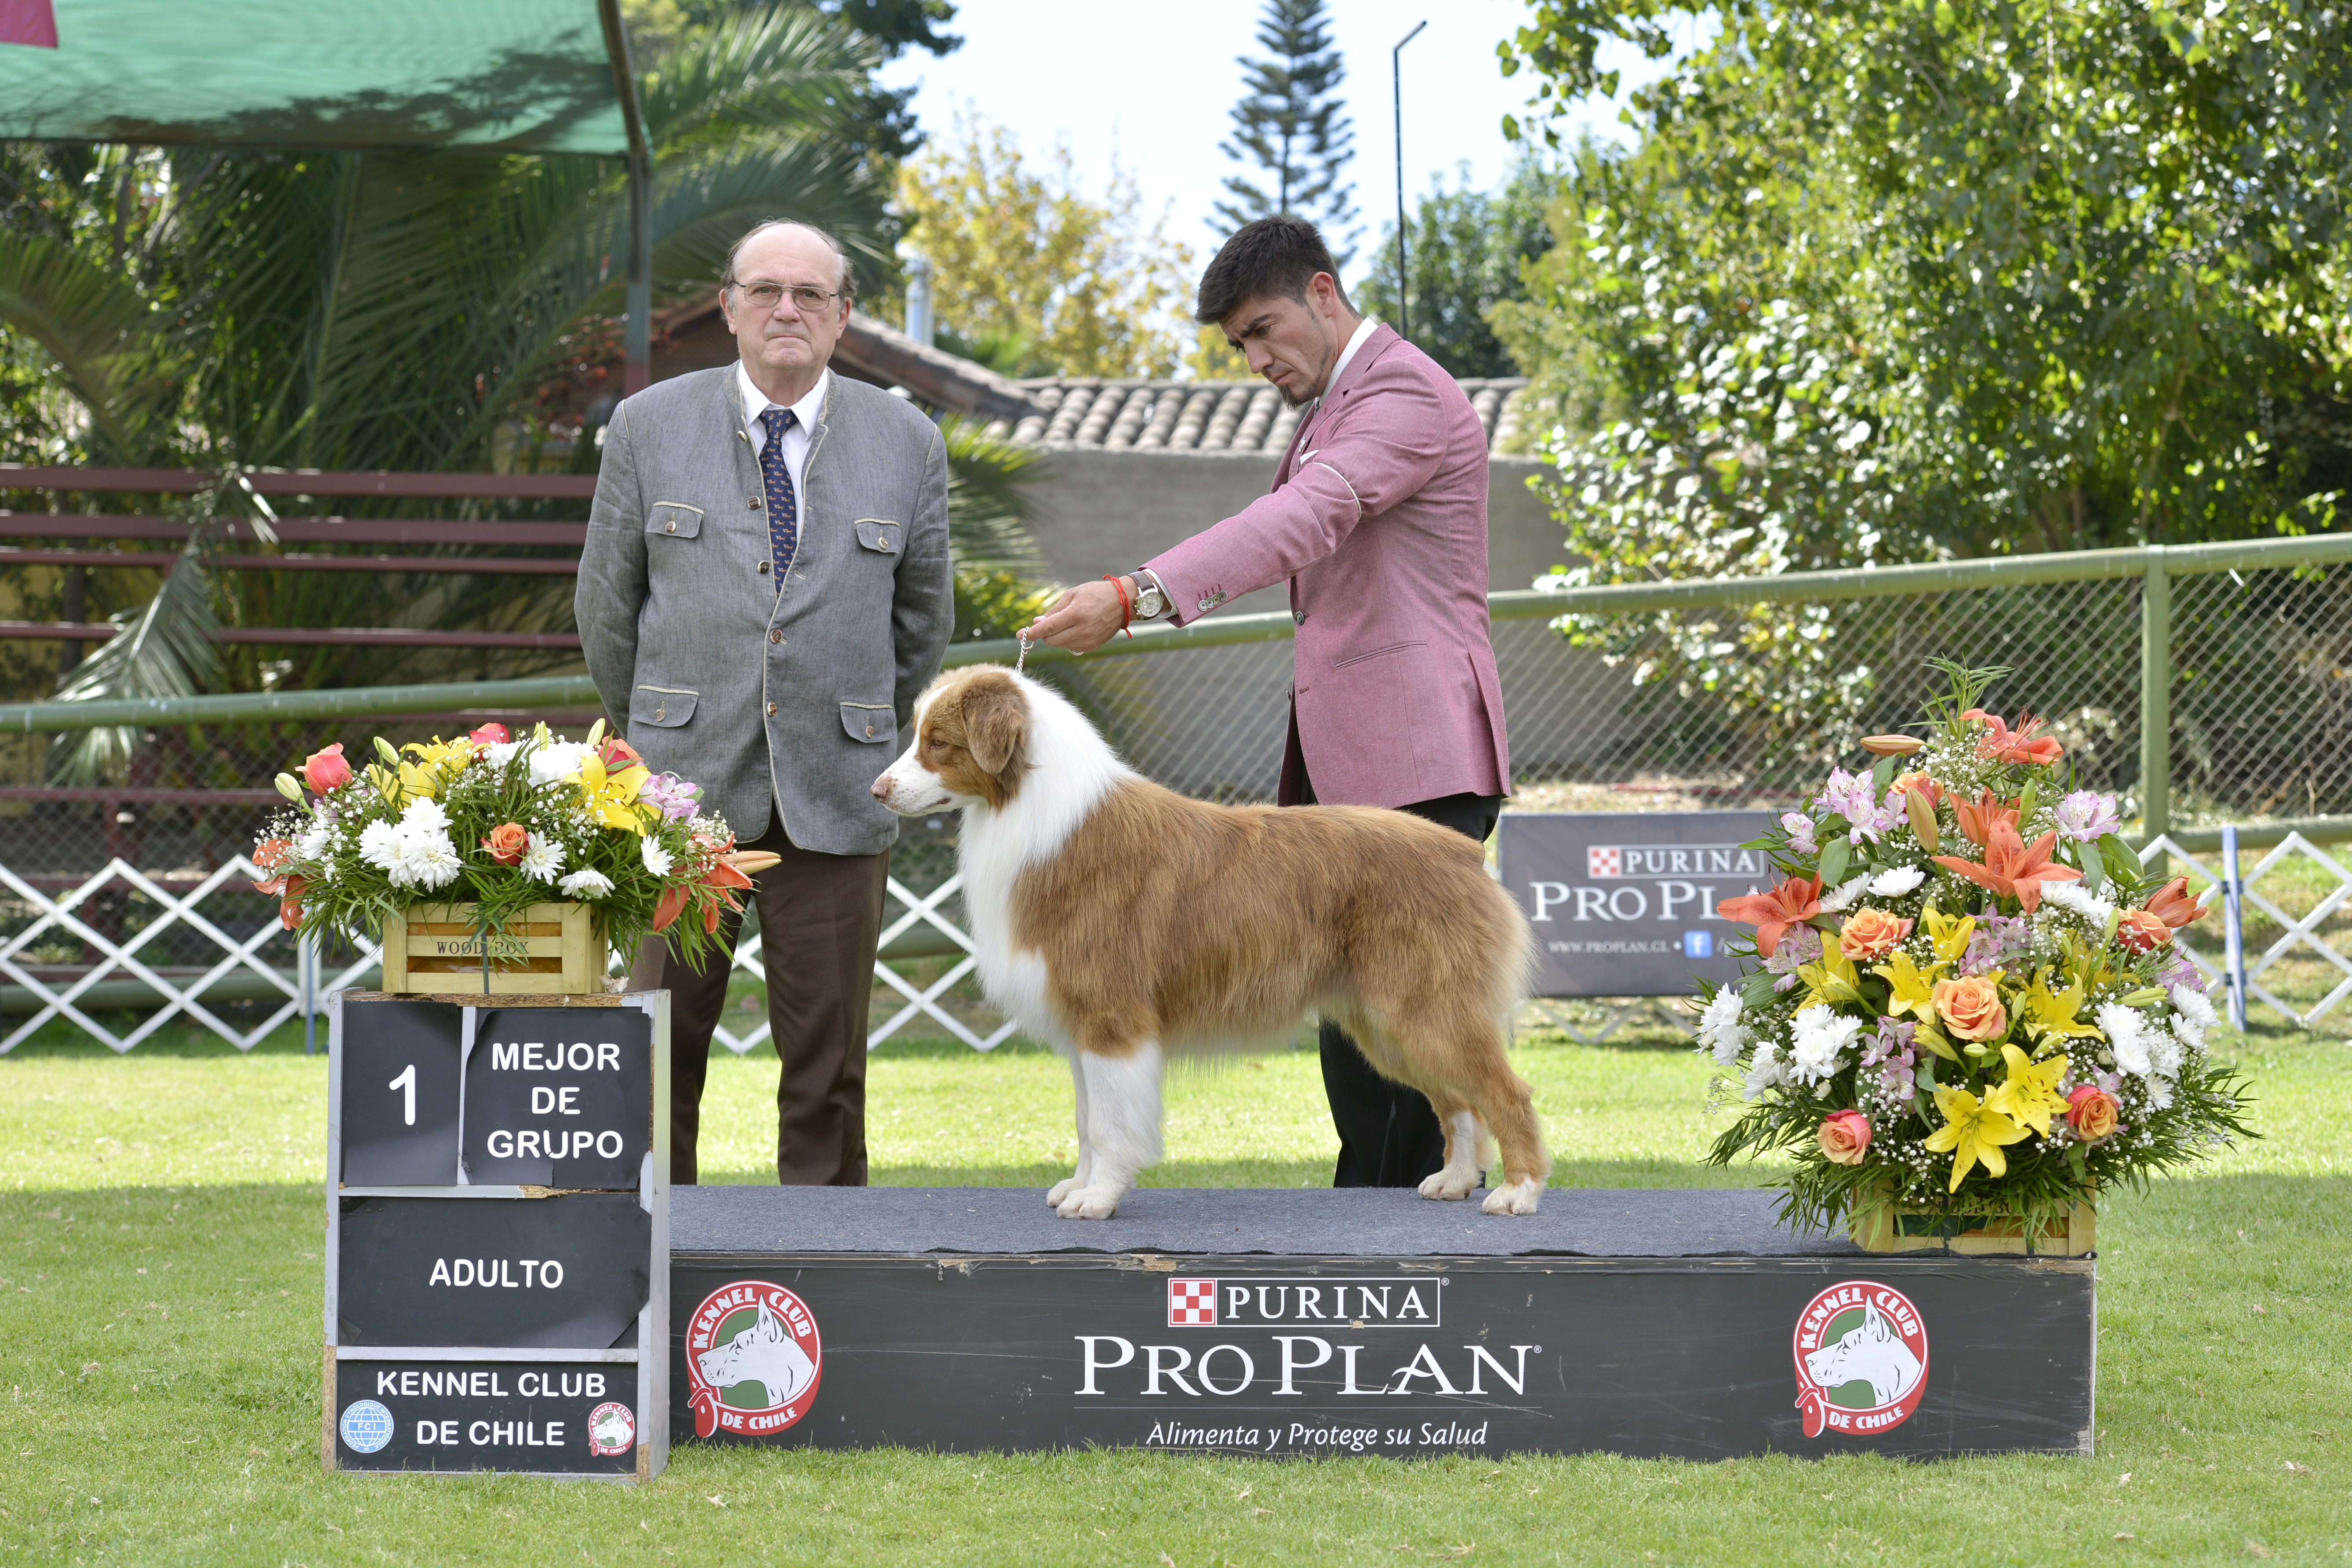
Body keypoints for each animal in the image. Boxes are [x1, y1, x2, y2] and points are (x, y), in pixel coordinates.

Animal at [865, 667, 1543, 1222]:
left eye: (938, 742)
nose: (876, 790)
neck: (1030, 809)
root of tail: (1462, 851)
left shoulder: (1112, 1017)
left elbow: (1109, 1123)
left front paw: (1099, 1197)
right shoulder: (1080, 1024)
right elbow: (1085, 1120)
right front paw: (1078, 1185)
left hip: (1423, 1007)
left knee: (1505, 1092)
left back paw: (1519, 1191)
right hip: (1387, 1023)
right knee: (1457, 1101)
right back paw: (1454, 1180)